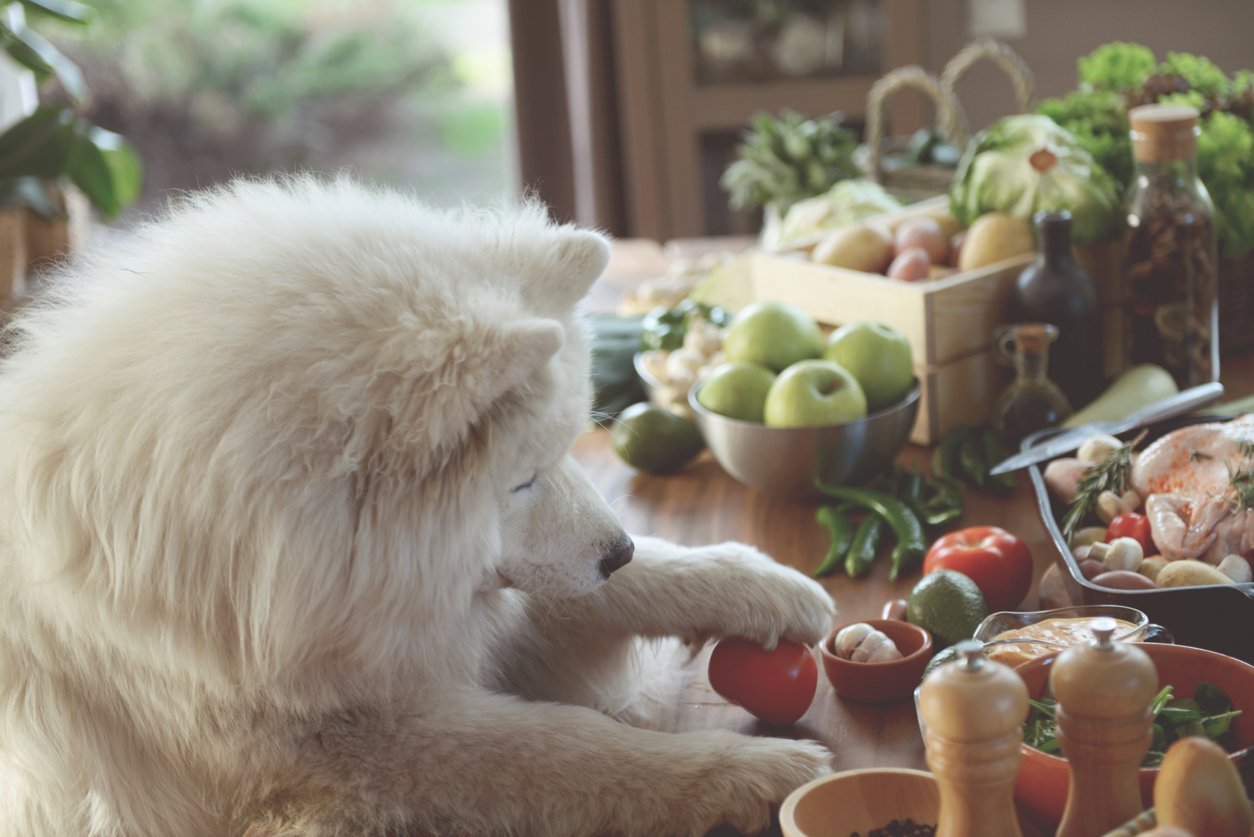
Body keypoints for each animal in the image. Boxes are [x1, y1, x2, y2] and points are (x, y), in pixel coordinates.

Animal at [2, 178, 842, 837]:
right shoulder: (356, 738)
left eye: (567, 446)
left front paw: (765, 585)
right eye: (522, 479)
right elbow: (566, 745)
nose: (617, 550)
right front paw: (753, 769)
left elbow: (631, 588)